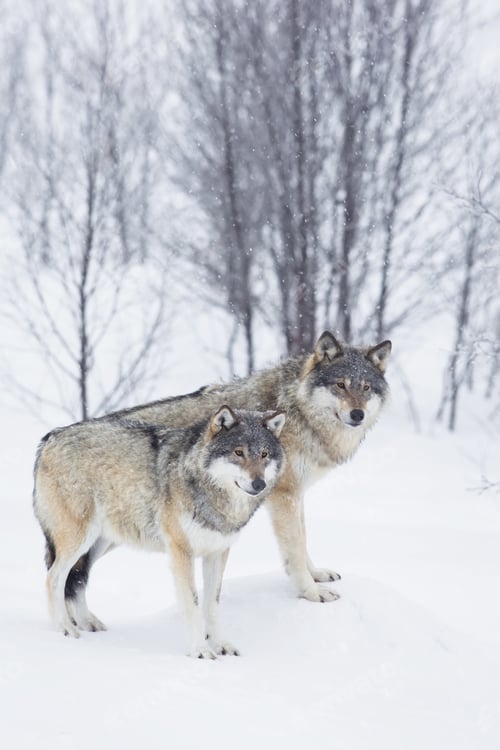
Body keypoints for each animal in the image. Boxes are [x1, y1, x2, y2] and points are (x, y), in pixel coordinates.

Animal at [33, 406, 286, 658]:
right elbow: (193, 604)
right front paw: (200, 650)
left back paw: (87, 621)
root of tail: (50, 437)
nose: (259, 484)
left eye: (264, 454)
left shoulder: (217, 553)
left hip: (100, 543)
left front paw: (221, 645)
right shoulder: (181, 552)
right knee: (54, 578)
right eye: (238, 452)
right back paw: (64, 627)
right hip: (79, 539)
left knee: (77, 577)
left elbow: (212, 605)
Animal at [101, 332, 392, 603]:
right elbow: (295, 549)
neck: (296, 410)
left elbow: (304, 538)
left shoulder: (296, 494)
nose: (357, 414)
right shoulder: (283, 496)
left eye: (366, 387)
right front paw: (311, 592)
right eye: (340, 385)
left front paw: (317, 574)